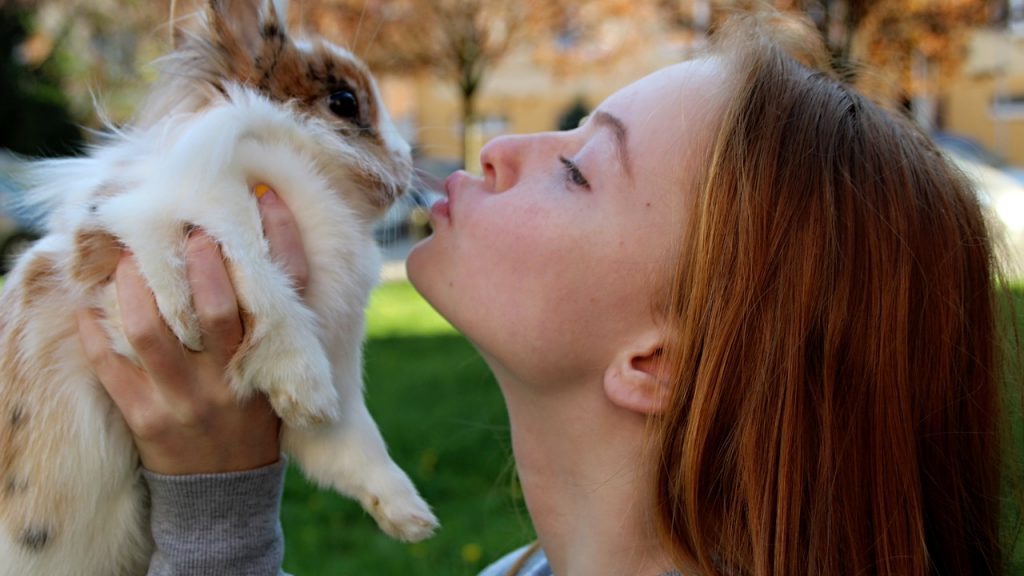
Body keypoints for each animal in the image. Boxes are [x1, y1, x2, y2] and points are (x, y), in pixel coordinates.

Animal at [0, 1, 436, 569]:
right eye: (343, 102)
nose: (407, 167)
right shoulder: (152, 232)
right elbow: (254, 271)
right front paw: (305, 388)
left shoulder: (342, 355)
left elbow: (354, 441)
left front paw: (411, 517)